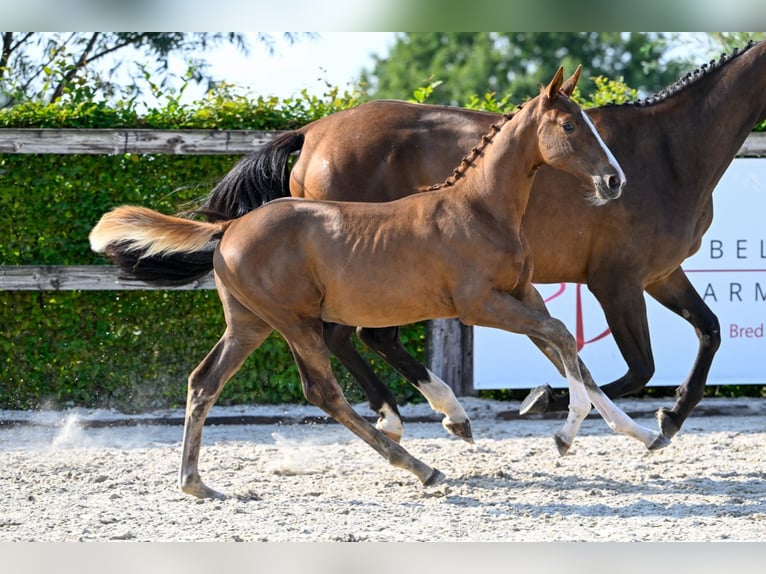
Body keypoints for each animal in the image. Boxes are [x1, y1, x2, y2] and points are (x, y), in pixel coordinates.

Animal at [90, 66, 664, 500]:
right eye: (569, 126)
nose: (615, 180)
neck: (479, 208)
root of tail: (229, 228)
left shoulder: (522, 294)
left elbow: (565, 349)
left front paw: (640, 432)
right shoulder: (479, 304)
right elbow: (564, 337)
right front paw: (565, 433)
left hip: (250, 323)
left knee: (204, 381)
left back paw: (196, 483)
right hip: (295, 321)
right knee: (323, 389)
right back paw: (422, 465)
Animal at [202, 41, 766, 446]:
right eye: (569, 125)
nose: (613, 183)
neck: (670, 152)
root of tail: (313, 131)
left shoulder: (661, 274)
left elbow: (709, 330)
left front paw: (668, 418)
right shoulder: (617, 280)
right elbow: (635, 366)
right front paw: (548, 400)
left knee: (357, 337)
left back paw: (416, 415)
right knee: (357, 335)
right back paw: (422, 414)